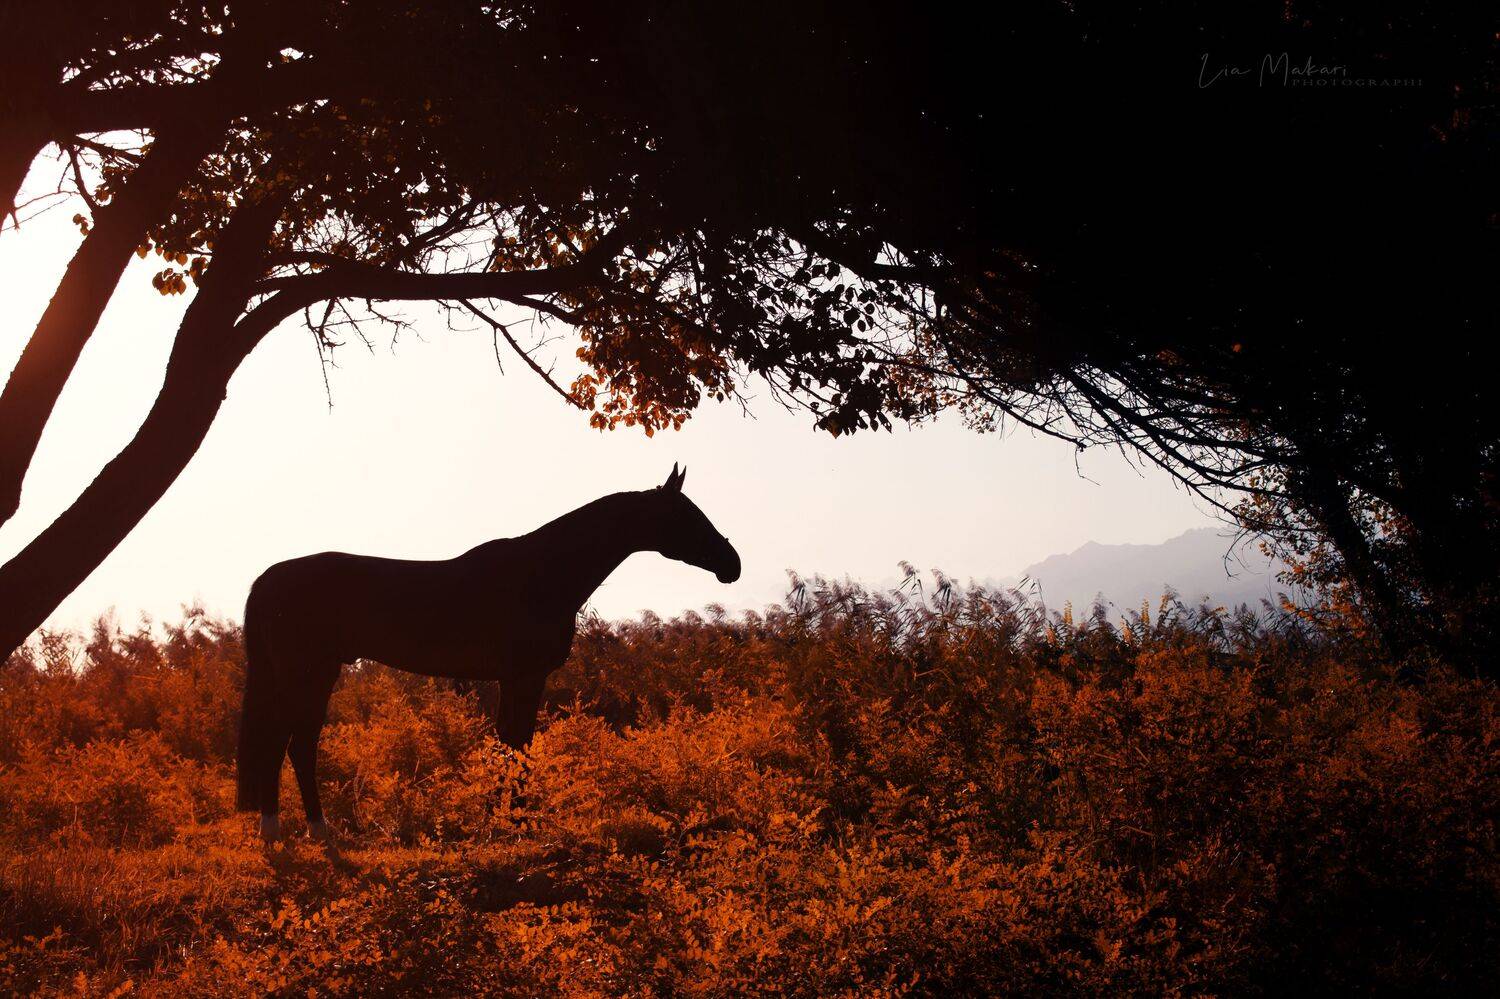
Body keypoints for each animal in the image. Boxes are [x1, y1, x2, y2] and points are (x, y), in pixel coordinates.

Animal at [235, 464, 739, 841]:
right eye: (687, 517)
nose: (731, 564)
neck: (542, 576)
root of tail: (267, 579)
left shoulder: (514, 680)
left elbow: (511, 746)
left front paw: (502, 820)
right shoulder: (524, 677)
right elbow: (515, 748)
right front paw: (518, 823)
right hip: (308, 674)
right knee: (293, 745)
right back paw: (312, 831)